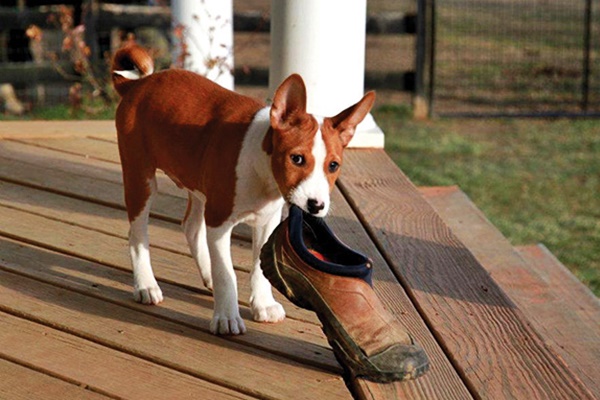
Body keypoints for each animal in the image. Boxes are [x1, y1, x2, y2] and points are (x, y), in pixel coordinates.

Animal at [111, 45, 376, 336]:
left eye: (333, 165)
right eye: (296, 159)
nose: (315, 205)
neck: (263, 174)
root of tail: (139, 85)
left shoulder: (267, 221)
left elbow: (259, 268)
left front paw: (263, 305)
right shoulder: (219, 221)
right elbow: (227, 274)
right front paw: (226, 317)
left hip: (198, 185)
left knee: (190, 227)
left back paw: (206, 274)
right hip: (141, 178)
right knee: (137, 235)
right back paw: (146, 284)